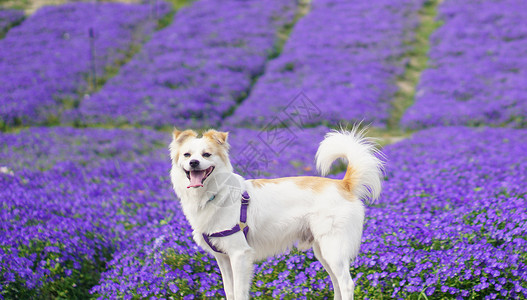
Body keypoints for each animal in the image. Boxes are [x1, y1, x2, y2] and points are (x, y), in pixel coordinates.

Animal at [171, 127, 386, 300]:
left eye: (206, 155)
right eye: (187, 155)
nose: (194, 163)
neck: (216, 194)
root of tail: (343, 184)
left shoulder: (240, 255)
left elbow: (239, 292)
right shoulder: (223, 258)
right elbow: (229, 292)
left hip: (333, 249)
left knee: (347, 284)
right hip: (323, 252)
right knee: (337, 283)